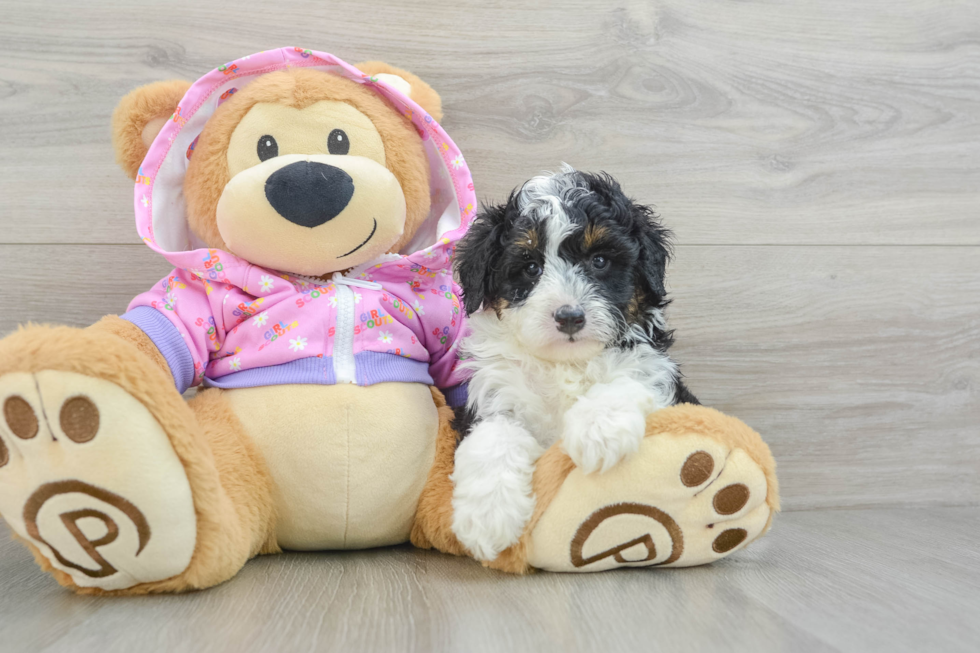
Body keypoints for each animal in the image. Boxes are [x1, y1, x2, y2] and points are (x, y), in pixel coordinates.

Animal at [452, 167, 696, 560]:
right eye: (531, 267)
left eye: (599, 261)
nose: (569, 317)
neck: (564, 365)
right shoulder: (491, 396)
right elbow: (494, 434)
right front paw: (488, 517)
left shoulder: (657, 373)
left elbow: (628, 378)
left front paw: (599, 431)